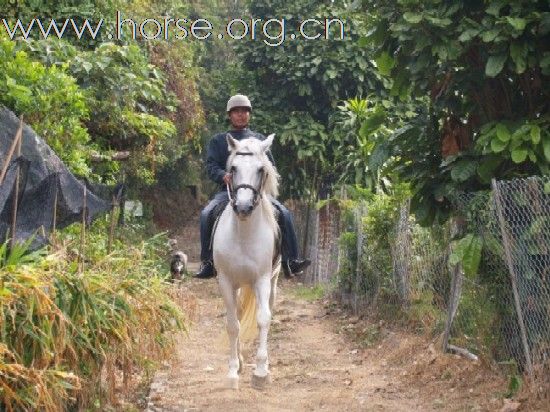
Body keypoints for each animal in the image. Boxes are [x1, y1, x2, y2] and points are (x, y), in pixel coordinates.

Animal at [213, 133, 282, 390]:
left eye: (261, 169)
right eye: (232, 168)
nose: (243, 207)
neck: (243, 233)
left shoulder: (261, 279)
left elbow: (263, 319)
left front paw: (261, 372)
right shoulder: (225, 281)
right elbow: (233, 324)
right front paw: (233, 371)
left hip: (272, 281)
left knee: (268, 311)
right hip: (239, 285)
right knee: (240, 314)